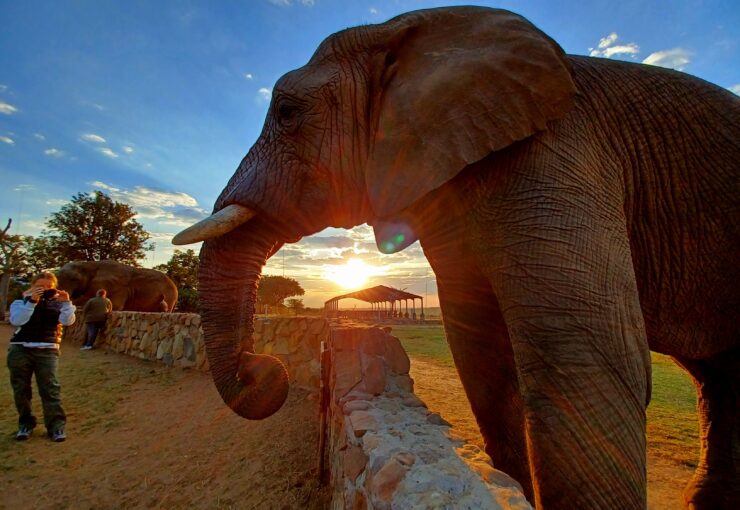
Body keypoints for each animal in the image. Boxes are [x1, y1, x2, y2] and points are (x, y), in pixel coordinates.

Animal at [173, 7, 739, 509]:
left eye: (287, 112)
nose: (265, 368)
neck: (404, 30)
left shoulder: (558, 154)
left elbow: (576, 354)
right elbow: (479, 349)